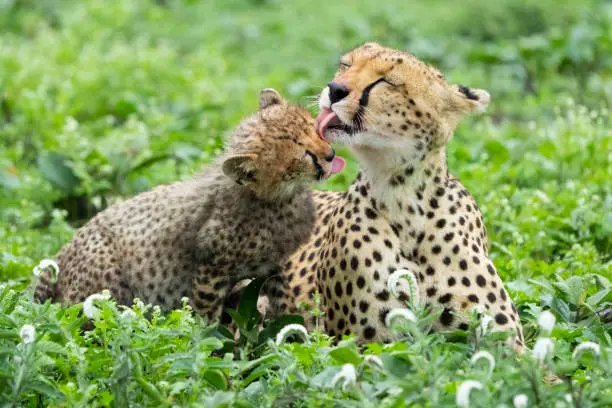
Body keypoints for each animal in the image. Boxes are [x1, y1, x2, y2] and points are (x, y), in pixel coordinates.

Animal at [268, 43, 524, 350]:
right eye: (345, 65)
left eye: (387, 82)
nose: (334, 89)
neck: (404, 196)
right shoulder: (366, 344)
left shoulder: (508, 344)